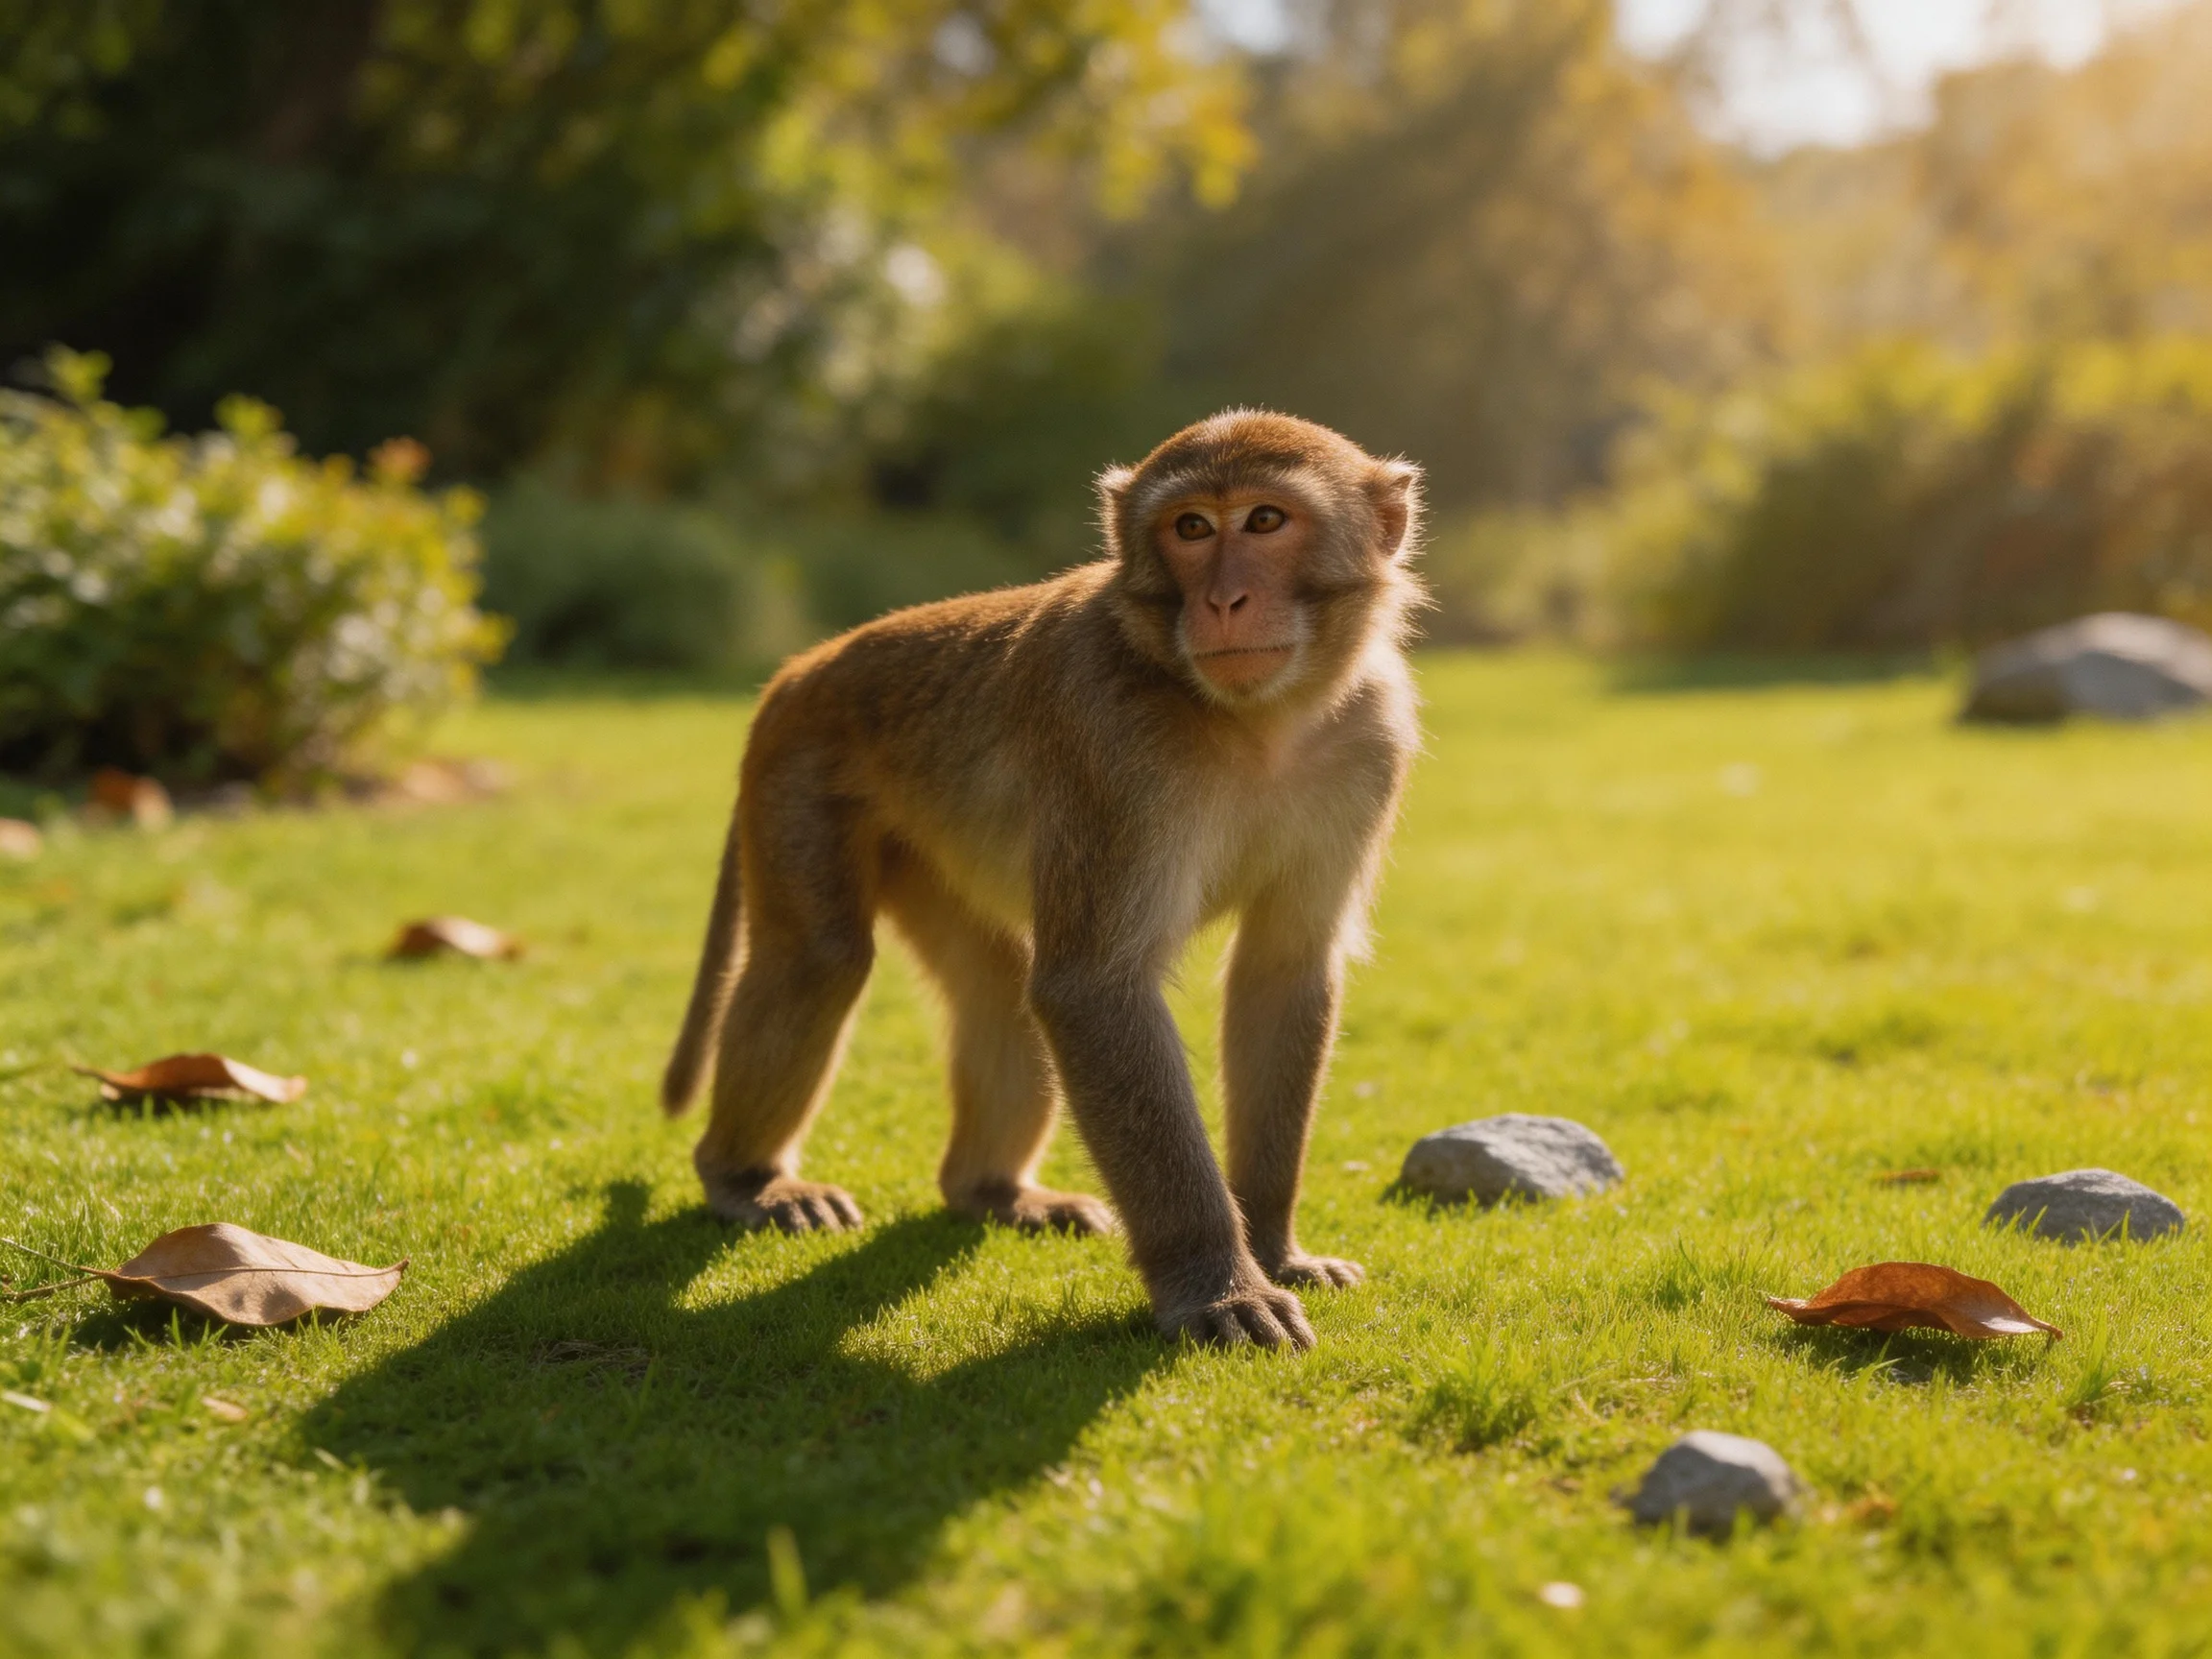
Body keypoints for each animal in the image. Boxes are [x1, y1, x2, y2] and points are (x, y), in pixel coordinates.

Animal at [660, 409, 1422, 1349]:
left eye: (1266, 521)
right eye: (1192, 528)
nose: (1223, 601)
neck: (1259, 722)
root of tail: (799, 669)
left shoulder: (1370, 744)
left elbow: (1283, 970)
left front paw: (1276, 1247)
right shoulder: (1113, 744)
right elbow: (1092, 989)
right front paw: (1216, 1286)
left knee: (993, 984)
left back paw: (990, 1191)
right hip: (796, 777)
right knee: (819, 959)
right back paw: (746, 1178)